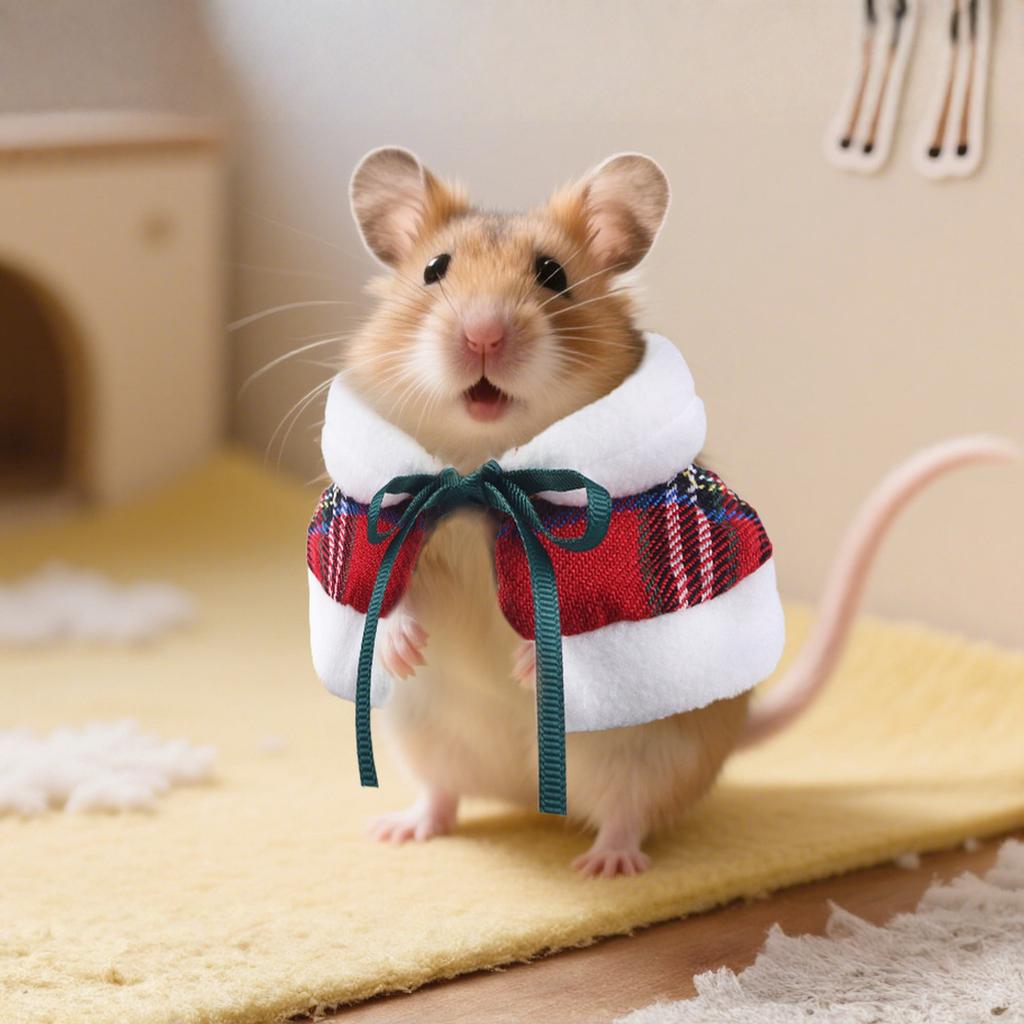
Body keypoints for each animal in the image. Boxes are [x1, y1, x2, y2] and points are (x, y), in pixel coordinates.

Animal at [334, 146, 1017, 877]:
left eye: (553, 274)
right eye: (434, 270)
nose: (482, 335)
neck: (486, 465)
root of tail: (528, 795)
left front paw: (529, 664)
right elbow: (388, 588)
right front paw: (404, 650)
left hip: (648, 754)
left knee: (626, 814)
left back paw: (606, 867)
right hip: (422, 735)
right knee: (444, 795)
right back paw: (400, 829)